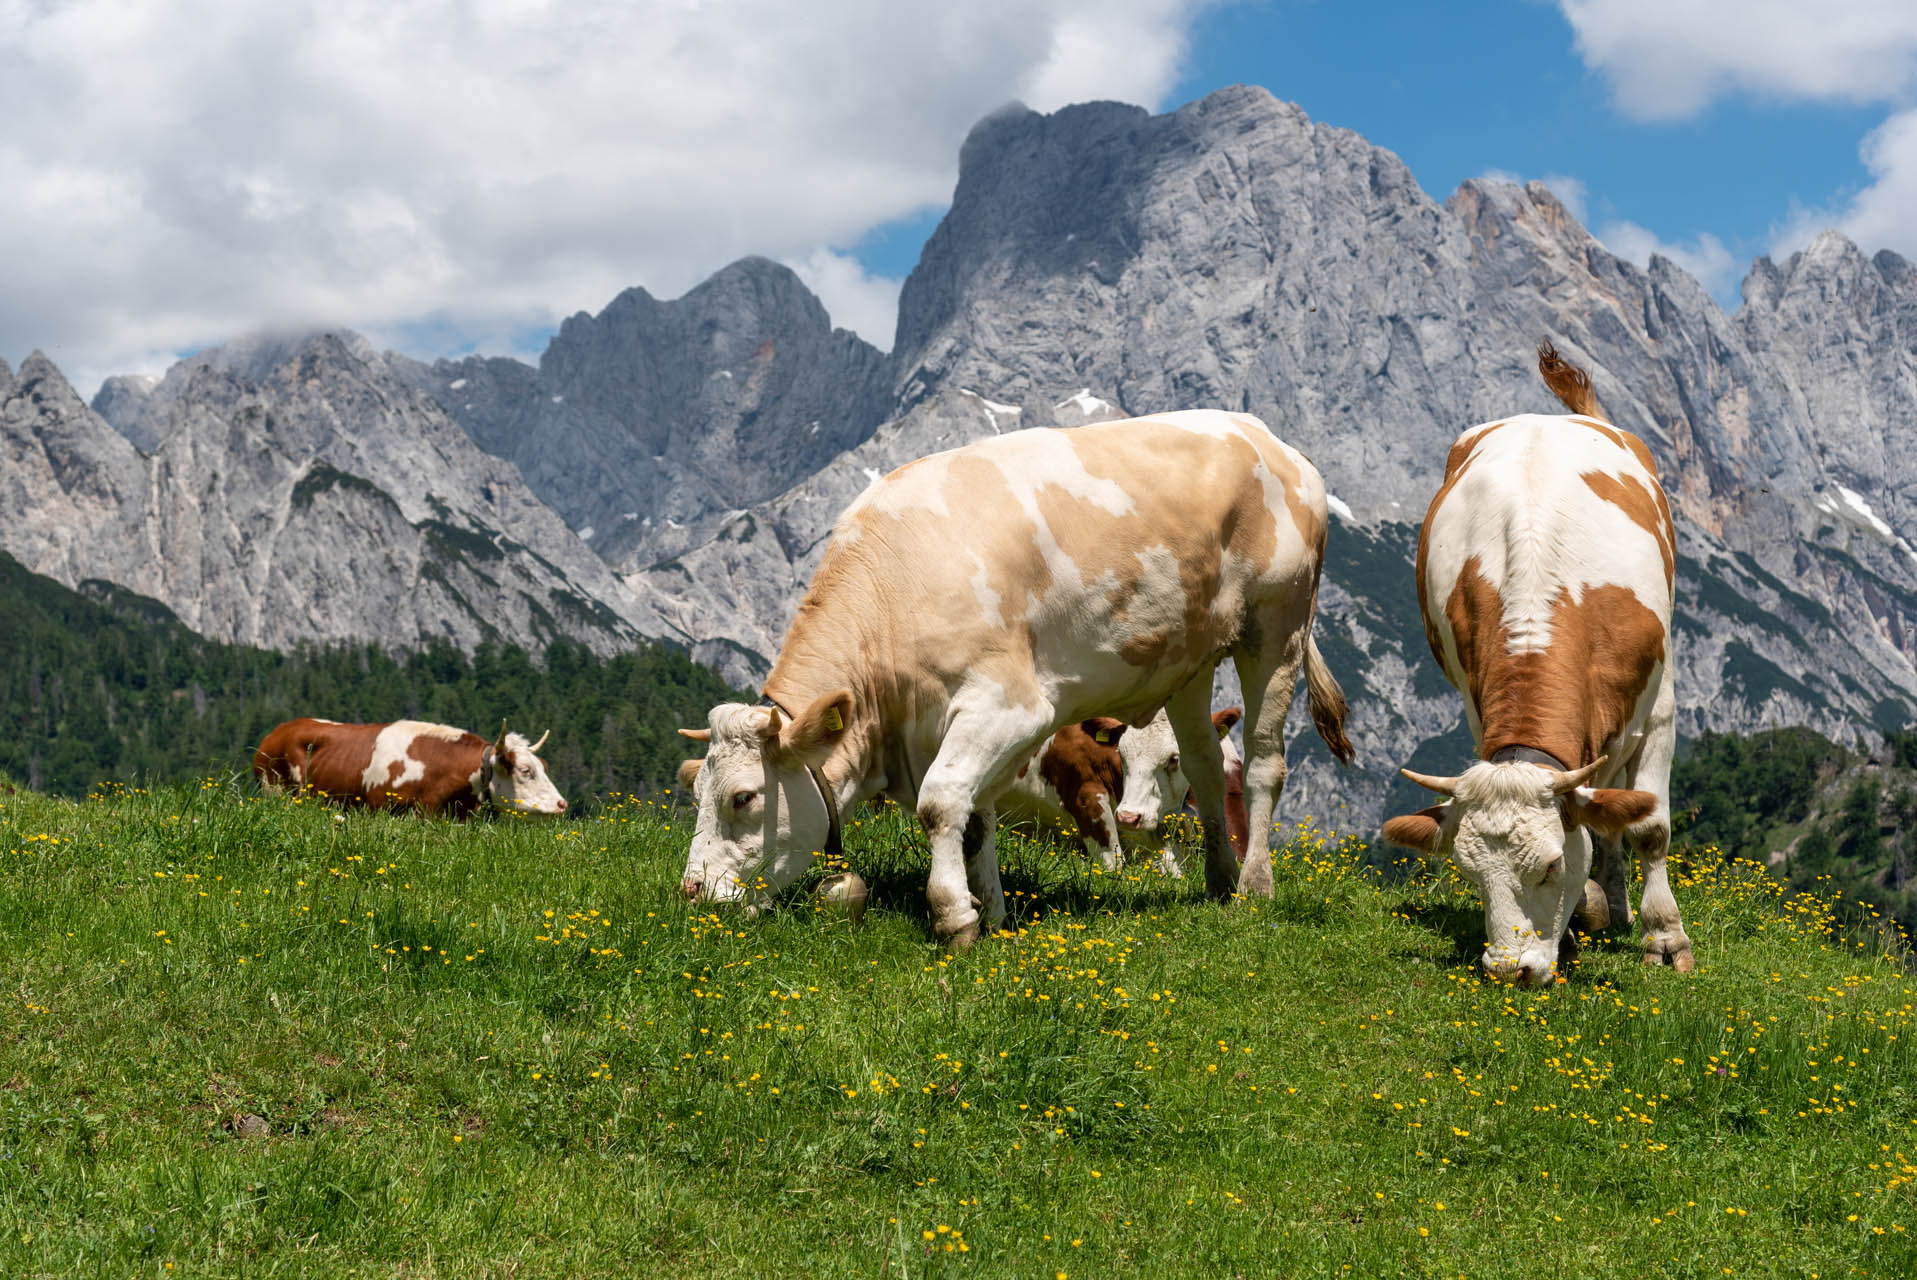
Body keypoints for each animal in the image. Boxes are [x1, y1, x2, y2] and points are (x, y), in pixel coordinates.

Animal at [682, 410, 1357, 938]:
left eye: (743, 797)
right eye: (694, 792)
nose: (692, 894)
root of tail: (1271, 440)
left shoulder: (1009, 705)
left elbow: (940, 804)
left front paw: (954, 916)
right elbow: (975, 815)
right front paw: (991, 912)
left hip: (1277, 628)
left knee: (1265, 762)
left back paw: (1255, 885)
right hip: (1188, 662)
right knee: (1206, 765)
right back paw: (1218, 882)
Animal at [1387, 344, 1686, 988]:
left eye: (1549, 866)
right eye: (1470, 875)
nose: (1509, 970)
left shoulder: (1661, 709)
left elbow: (1649, 825)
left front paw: (1665, 938)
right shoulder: (1477, 703)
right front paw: (1572, 933)